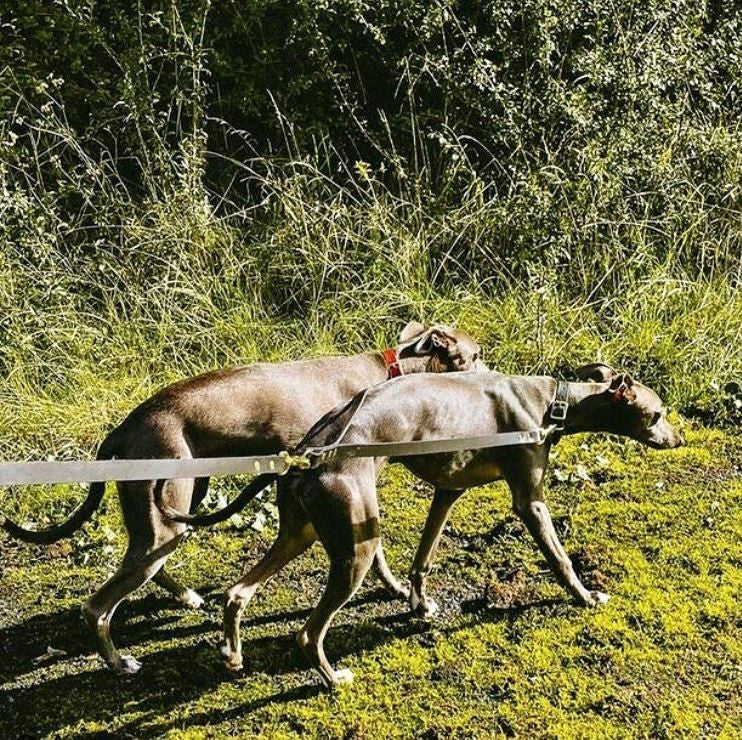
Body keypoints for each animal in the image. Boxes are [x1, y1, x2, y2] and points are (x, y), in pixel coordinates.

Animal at [0, 320, 482, 672]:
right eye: (475, 354)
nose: (491, 369)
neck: (390, 372)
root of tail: (124, 428)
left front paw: (396, 589)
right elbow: (377, 552)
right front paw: (402, 591)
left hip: (175, 510)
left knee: (147, 565)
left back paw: (187, 598)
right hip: (166, 517)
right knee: (96, 607)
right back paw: (120, 664)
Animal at [215, 364, 684, 688]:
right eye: (657, 412)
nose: (680, 439)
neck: (553, 403)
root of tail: (307, 452)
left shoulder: (447, 491)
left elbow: (422, 559)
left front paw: (420, 604)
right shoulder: (529, 502)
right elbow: (560, 558)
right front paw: (585, 595)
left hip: (302, 532)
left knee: (236, 591)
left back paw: (234, 655)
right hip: (355, 549)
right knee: (307, 634)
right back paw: (332, 680)